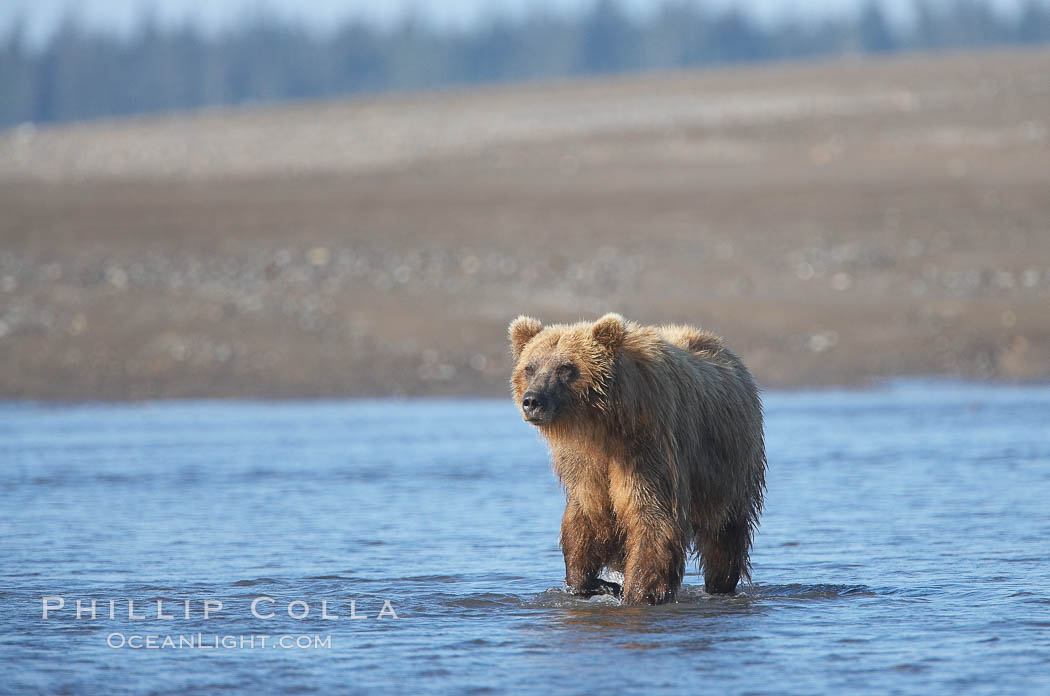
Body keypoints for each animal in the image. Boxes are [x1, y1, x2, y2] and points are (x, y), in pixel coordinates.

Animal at [512, 314, 768, 604]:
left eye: (566, 368)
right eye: (530, 367)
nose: (532, 401)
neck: (600, 426)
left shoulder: (646, 449)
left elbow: (650, 517)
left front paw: (638, 594)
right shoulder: (583, 463)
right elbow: (586, 517)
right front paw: (591, 584)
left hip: (729, 465)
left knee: (724, 535)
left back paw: (720, 584)